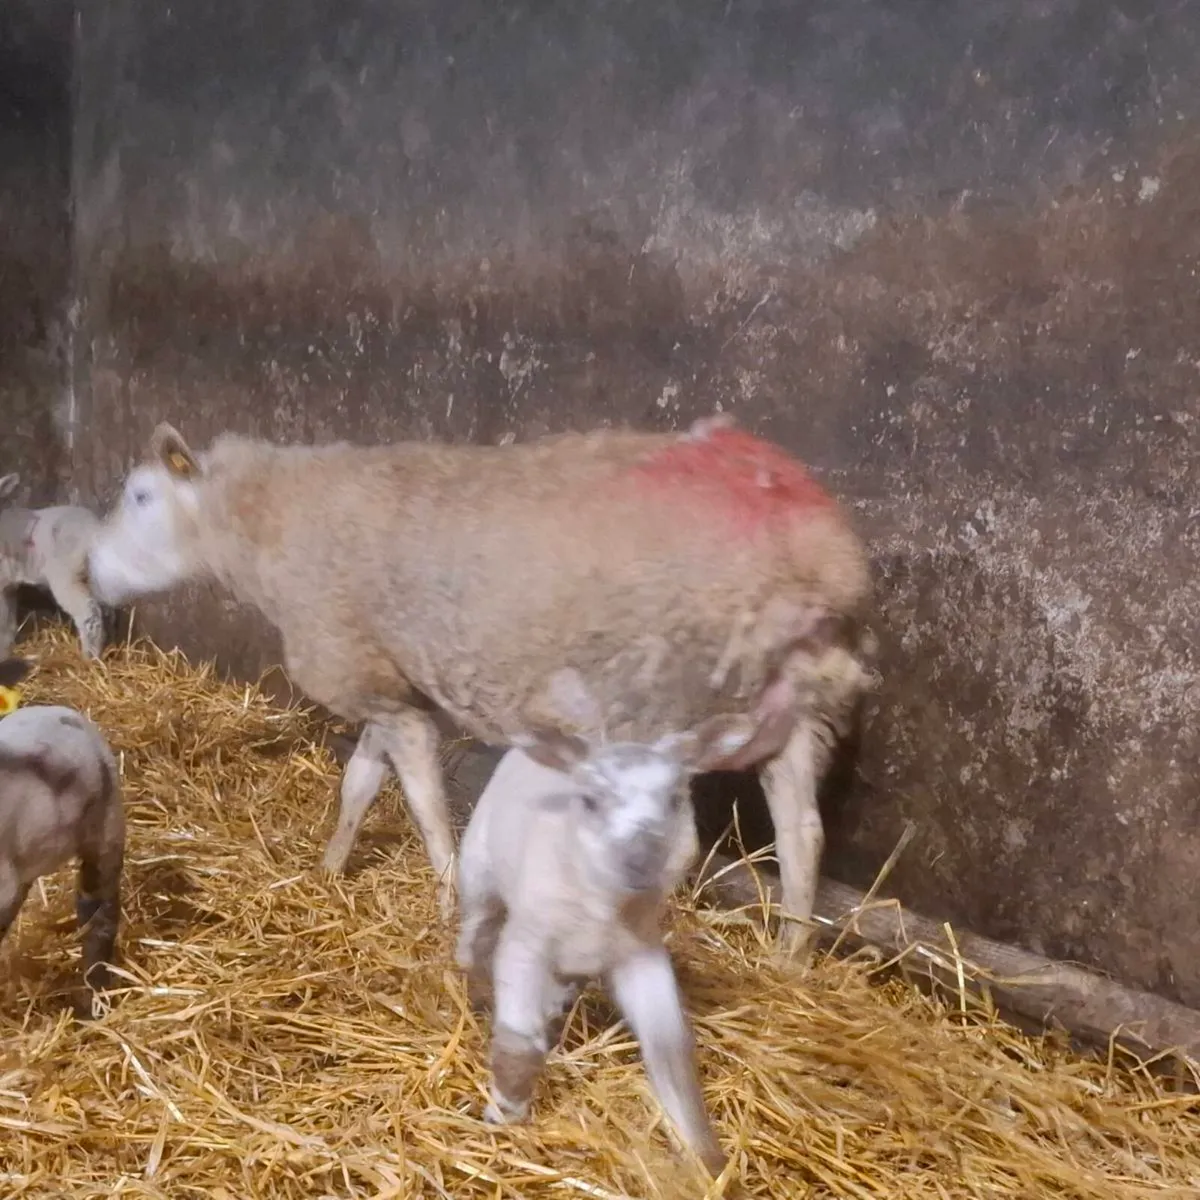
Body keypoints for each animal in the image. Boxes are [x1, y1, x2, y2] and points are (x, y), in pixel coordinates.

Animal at [0, 473, 106, 659]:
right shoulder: (8, 585)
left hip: (66, 574)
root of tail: (95, 530)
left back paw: (89, 657)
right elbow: (8, 622)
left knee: (88, 612)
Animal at [84, 415, 874, 952]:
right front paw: (331, 867)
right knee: (802, 835)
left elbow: (428, 807)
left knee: (680, 845)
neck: (268, 526)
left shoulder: (373, 684)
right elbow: (359, 786)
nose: (91, 569)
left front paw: (444, 904)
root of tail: (821, 557)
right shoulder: (384, 682)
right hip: (794, 713)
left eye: (142, 496)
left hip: (657, 705)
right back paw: (790, 959)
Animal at [455, 702, 759, 1178]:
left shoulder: (641, 955)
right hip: (479, 866)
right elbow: (519, 1041)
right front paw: (505, 1110)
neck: (599, 908)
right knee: (476, 930)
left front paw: (707, 1161)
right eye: (591, 800)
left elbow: (671, 1051)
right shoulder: (528, 942)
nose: (640, 859)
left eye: (675, 799)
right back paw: (475, 984)